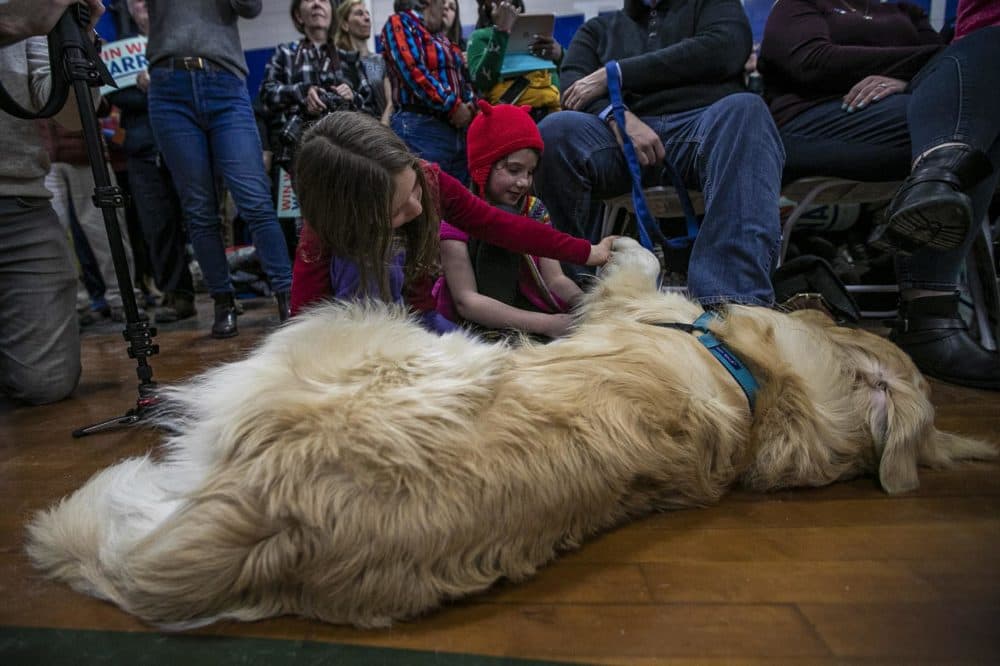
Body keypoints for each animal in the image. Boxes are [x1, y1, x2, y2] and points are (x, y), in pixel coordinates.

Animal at [27, 239, 996, 628]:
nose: (812, 290)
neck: (754, 387)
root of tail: (275, 519)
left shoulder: (635, 306)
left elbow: (640, 262)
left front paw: (607, 246)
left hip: (347, 321)